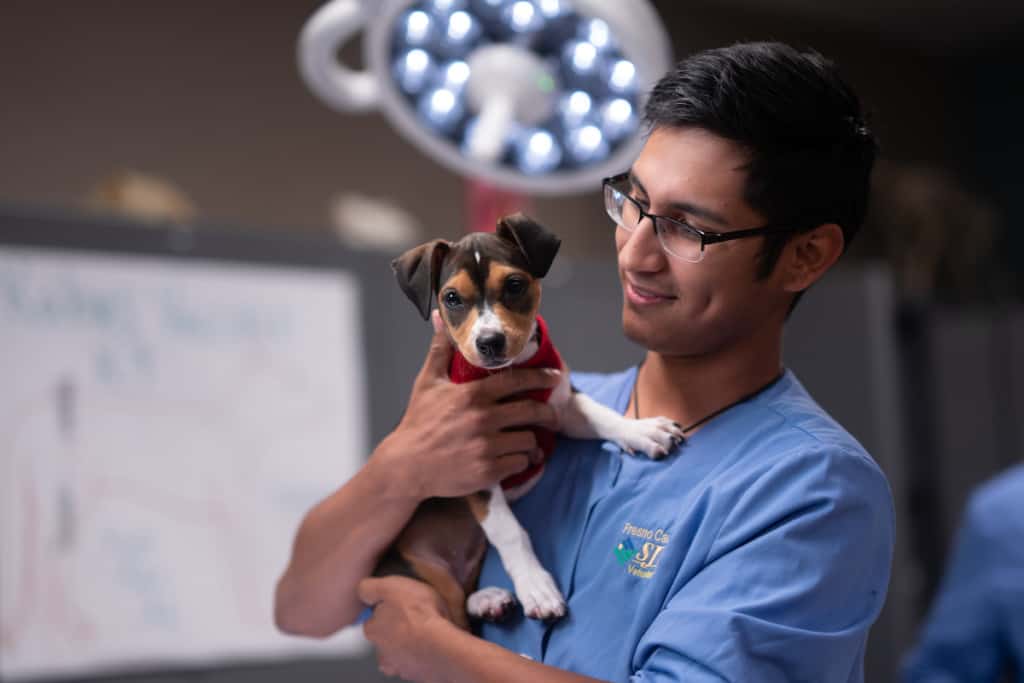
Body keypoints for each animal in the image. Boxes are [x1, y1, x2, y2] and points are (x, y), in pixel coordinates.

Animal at [380, 214, 684, 630]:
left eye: (514, 285)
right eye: (452, 298)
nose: (490, 342)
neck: (510, 373)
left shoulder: (561, 405)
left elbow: (601, 414)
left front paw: (642, 430)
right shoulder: (476, 466)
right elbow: (510, 530)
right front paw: (537, 587)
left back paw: (486, 600)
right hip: (418, 565)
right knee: (450, 615)